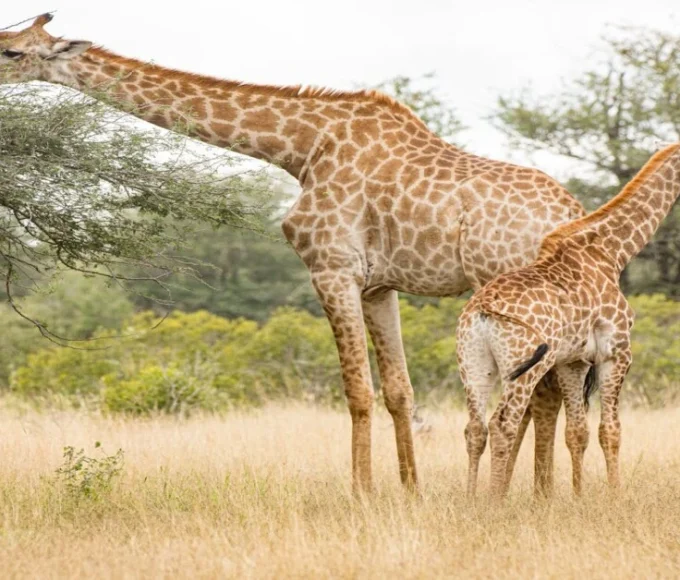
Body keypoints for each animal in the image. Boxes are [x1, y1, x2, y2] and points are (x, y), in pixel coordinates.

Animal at [0, 14, 585, 492]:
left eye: (12, 50)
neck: (301, 148)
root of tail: (570, 211)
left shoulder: (330, 269)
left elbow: (356, 390)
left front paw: (362, 495)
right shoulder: (378, 284)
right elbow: (398, 390)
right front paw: (411, 492)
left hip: (508, 295)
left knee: (535, 398)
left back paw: (519, 494)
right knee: (549, 396)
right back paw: (541, 493)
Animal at [457, 144, 680, 499]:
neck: (611, 252)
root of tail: (483, 308)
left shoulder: (571, 361)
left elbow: (577, 432)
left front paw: (578, 497)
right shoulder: (616, 351)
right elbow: (610, 430)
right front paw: (615, 496)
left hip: (475, 363)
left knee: (475, 428)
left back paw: (471, 500)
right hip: (523, 366)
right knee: (502, 424)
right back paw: (493, 502)